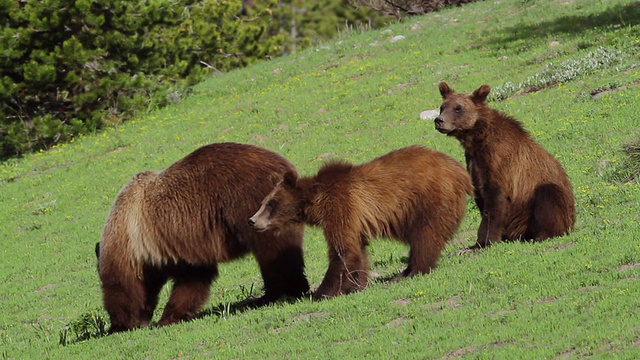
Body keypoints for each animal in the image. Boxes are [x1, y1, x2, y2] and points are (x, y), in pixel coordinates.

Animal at [95, 142, 312, 334]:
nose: (116, 325)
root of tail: (283, 166)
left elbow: (124, 285)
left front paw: (129, 322)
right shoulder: (181, 249)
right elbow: (194, 279)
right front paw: (169, 315)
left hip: (251, 205)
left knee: (272, 251)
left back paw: (276, 292)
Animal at [248, 145, 472, 300]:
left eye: (270, 203)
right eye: (265, 202)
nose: (252, 220)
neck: (316, 201)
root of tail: (460, 171)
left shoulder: (340, 205)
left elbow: (343, 250)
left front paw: (322, 292)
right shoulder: (352, 219)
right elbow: (357, 248)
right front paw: (357, 284)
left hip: (430, 198)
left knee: (425, 235)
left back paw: (411, 271)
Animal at [436, 82, 576, 252]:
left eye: (458, 108)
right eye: (442, 107)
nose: (439, 120)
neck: (478, 139)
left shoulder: (500, 162)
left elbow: (495, 200)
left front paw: (481, 243)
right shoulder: (474, 164)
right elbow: (481, 196)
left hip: (546, 201)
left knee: (548, 195)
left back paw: (542, 235)